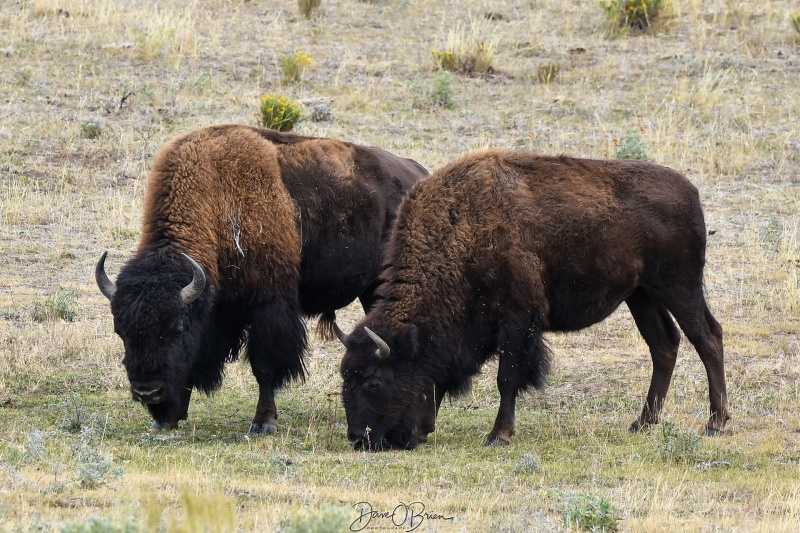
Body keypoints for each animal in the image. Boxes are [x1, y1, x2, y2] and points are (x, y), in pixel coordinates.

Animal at [94, 123, 428, 432]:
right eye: (120, 331)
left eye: (176, 329)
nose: (147, 391)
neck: (217, 195)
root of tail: (416, 172)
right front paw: (168, 420)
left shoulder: (268, 305)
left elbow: (264, 367)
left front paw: (263, 423)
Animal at [334, 149, 728, 448]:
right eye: (345, 376)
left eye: (373, 381)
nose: (358, 438)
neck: (463, 232)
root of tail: (691, 192)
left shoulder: (517, 321)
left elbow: (506, 378)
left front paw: (498, 435)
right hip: (642, 295)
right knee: (664, 345)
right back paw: (643, 422)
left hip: (679, 287)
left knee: (707, 337)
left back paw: (715, 423)